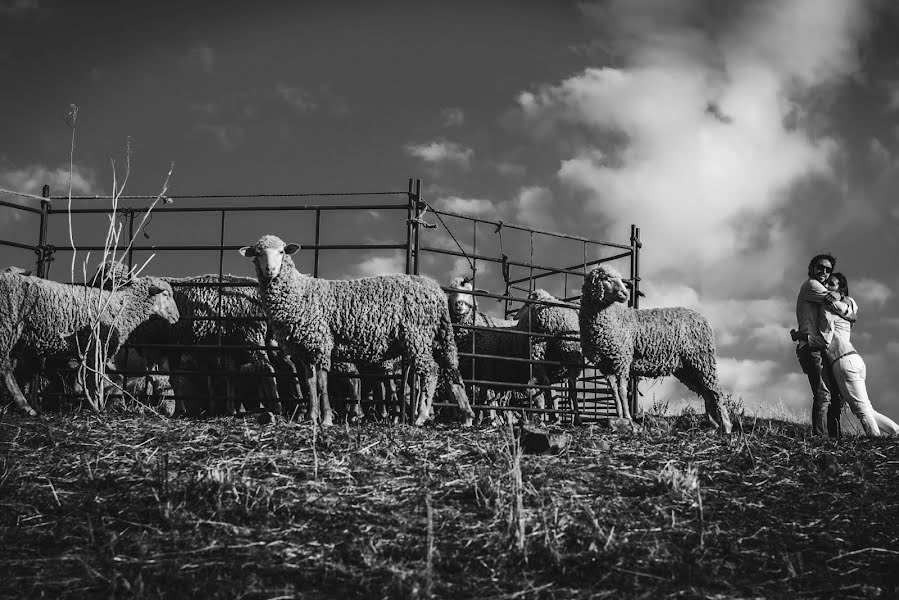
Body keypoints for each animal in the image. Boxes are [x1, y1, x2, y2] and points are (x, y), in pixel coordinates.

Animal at [0, 270, 179, 414]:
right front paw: (95, 406)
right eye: (165, 295)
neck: (121, 307)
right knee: (4, 367)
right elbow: (94, 379)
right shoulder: (97, 348)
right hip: (7, 326)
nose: (177, 317)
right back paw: (26, 406)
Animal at [239, 234, 478, 426]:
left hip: (417, 334)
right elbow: (310, 383)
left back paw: (420, 416)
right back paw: (466, 417)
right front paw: (311, 417)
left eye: (281, 252)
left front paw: (326, 419)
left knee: (431, 371)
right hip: (436, 335)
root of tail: (436, 290)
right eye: (258, 253)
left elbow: (322, 383)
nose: (270, 270)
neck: (300, 293)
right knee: (451, 371)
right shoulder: (306, 349)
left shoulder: (321, 342)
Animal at [580, 264, 736, 434]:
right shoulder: (604, 365)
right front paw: (619, 416)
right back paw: (713, 427)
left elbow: (622, 390)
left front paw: (627, 417)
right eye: (606, 278)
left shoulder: (622, 360)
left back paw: (726, 427)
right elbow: (614, 392)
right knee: (707, 393)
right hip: (687, 368)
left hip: (702, 359)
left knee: (716, 392)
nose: (625, 294)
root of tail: (703, 318)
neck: (611, 317)